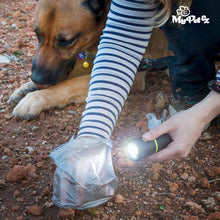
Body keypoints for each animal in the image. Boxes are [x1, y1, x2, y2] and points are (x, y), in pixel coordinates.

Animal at [8, 0, 172, 120]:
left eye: (66, 41)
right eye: (37, 34)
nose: (37, 78)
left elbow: (69, 84)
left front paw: (36, 98)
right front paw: (26, 87)